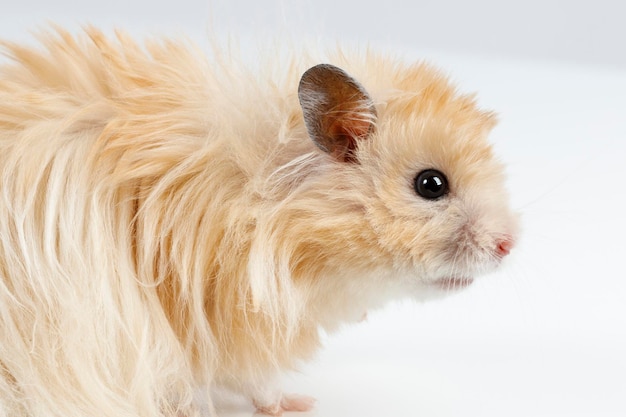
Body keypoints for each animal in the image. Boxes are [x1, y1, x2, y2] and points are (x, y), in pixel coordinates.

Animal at [0, 28, 516, 416]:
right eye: (431, 184)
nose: (509, 246)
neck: (265, 204)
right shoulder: (230, 319)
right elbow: (256, 380)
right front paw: (298, 404)